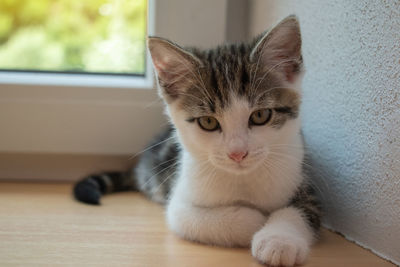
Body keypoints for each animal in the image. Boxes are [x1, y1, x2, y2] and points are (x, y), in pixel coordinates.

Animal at [73, 15, 320, 266]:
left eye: (261, 115)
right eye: (208, 122)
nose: (238, 153)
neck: (242, 180)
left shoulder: (302, 178)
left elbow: (300, 211)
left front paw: (279, 240)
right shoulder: (179, 201)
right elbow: (195, 219)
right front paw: (256, 220)